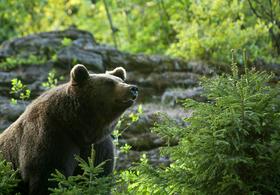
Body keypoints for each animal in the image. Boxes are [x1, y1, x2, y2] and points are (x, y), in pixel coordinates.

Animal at [0, 63, 137, 193]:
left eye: (121, 80)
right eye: (109, 83)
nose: (133, 88)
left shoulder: (98, 146)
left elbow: (99, 175)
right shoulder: (51, 136)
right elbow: (49, 175)